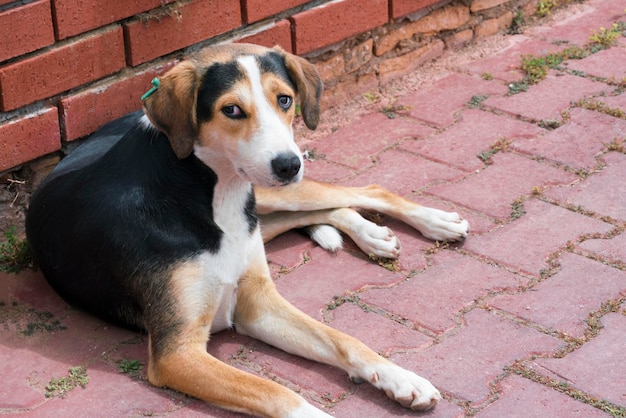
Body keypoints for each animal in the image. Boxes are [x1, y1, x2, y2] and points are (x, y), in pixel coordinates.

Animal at [26, 44, 466, 416]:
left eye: (284, 99)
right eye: (232, 110)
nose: (288, 165)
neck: (209, 192)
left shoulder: (257, 303)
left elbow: (343, 339)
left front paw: (401, 377)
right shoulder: (178, 352)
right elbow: (276, 391)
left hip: (274, 196)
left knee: (366, 190)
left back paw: (432, 222)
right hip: (268, 203)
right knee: (328, 207)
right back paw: (373, 234)